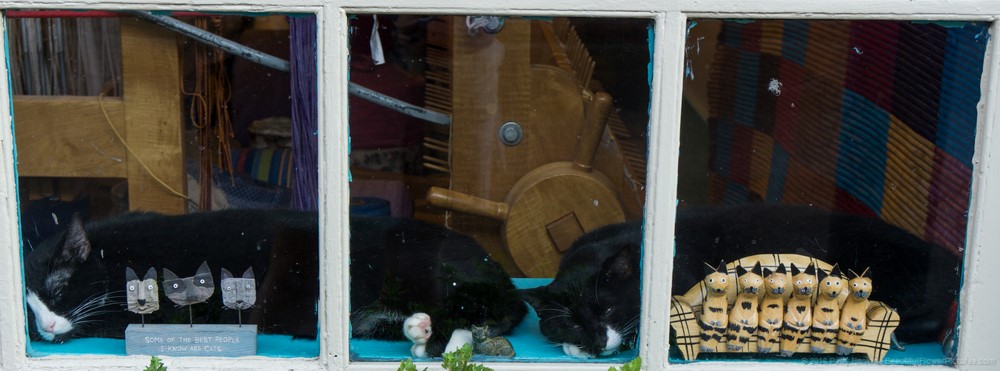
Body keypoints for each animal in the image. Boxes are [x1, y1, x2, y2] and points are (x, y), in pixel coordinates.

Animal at [21, 209, 524, 358]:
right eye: (26, 314)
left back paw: (440, 338)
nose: (46, 327)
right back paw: (417, 330)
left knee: (469, 311)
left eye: (59, 288)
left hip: (421, 271)